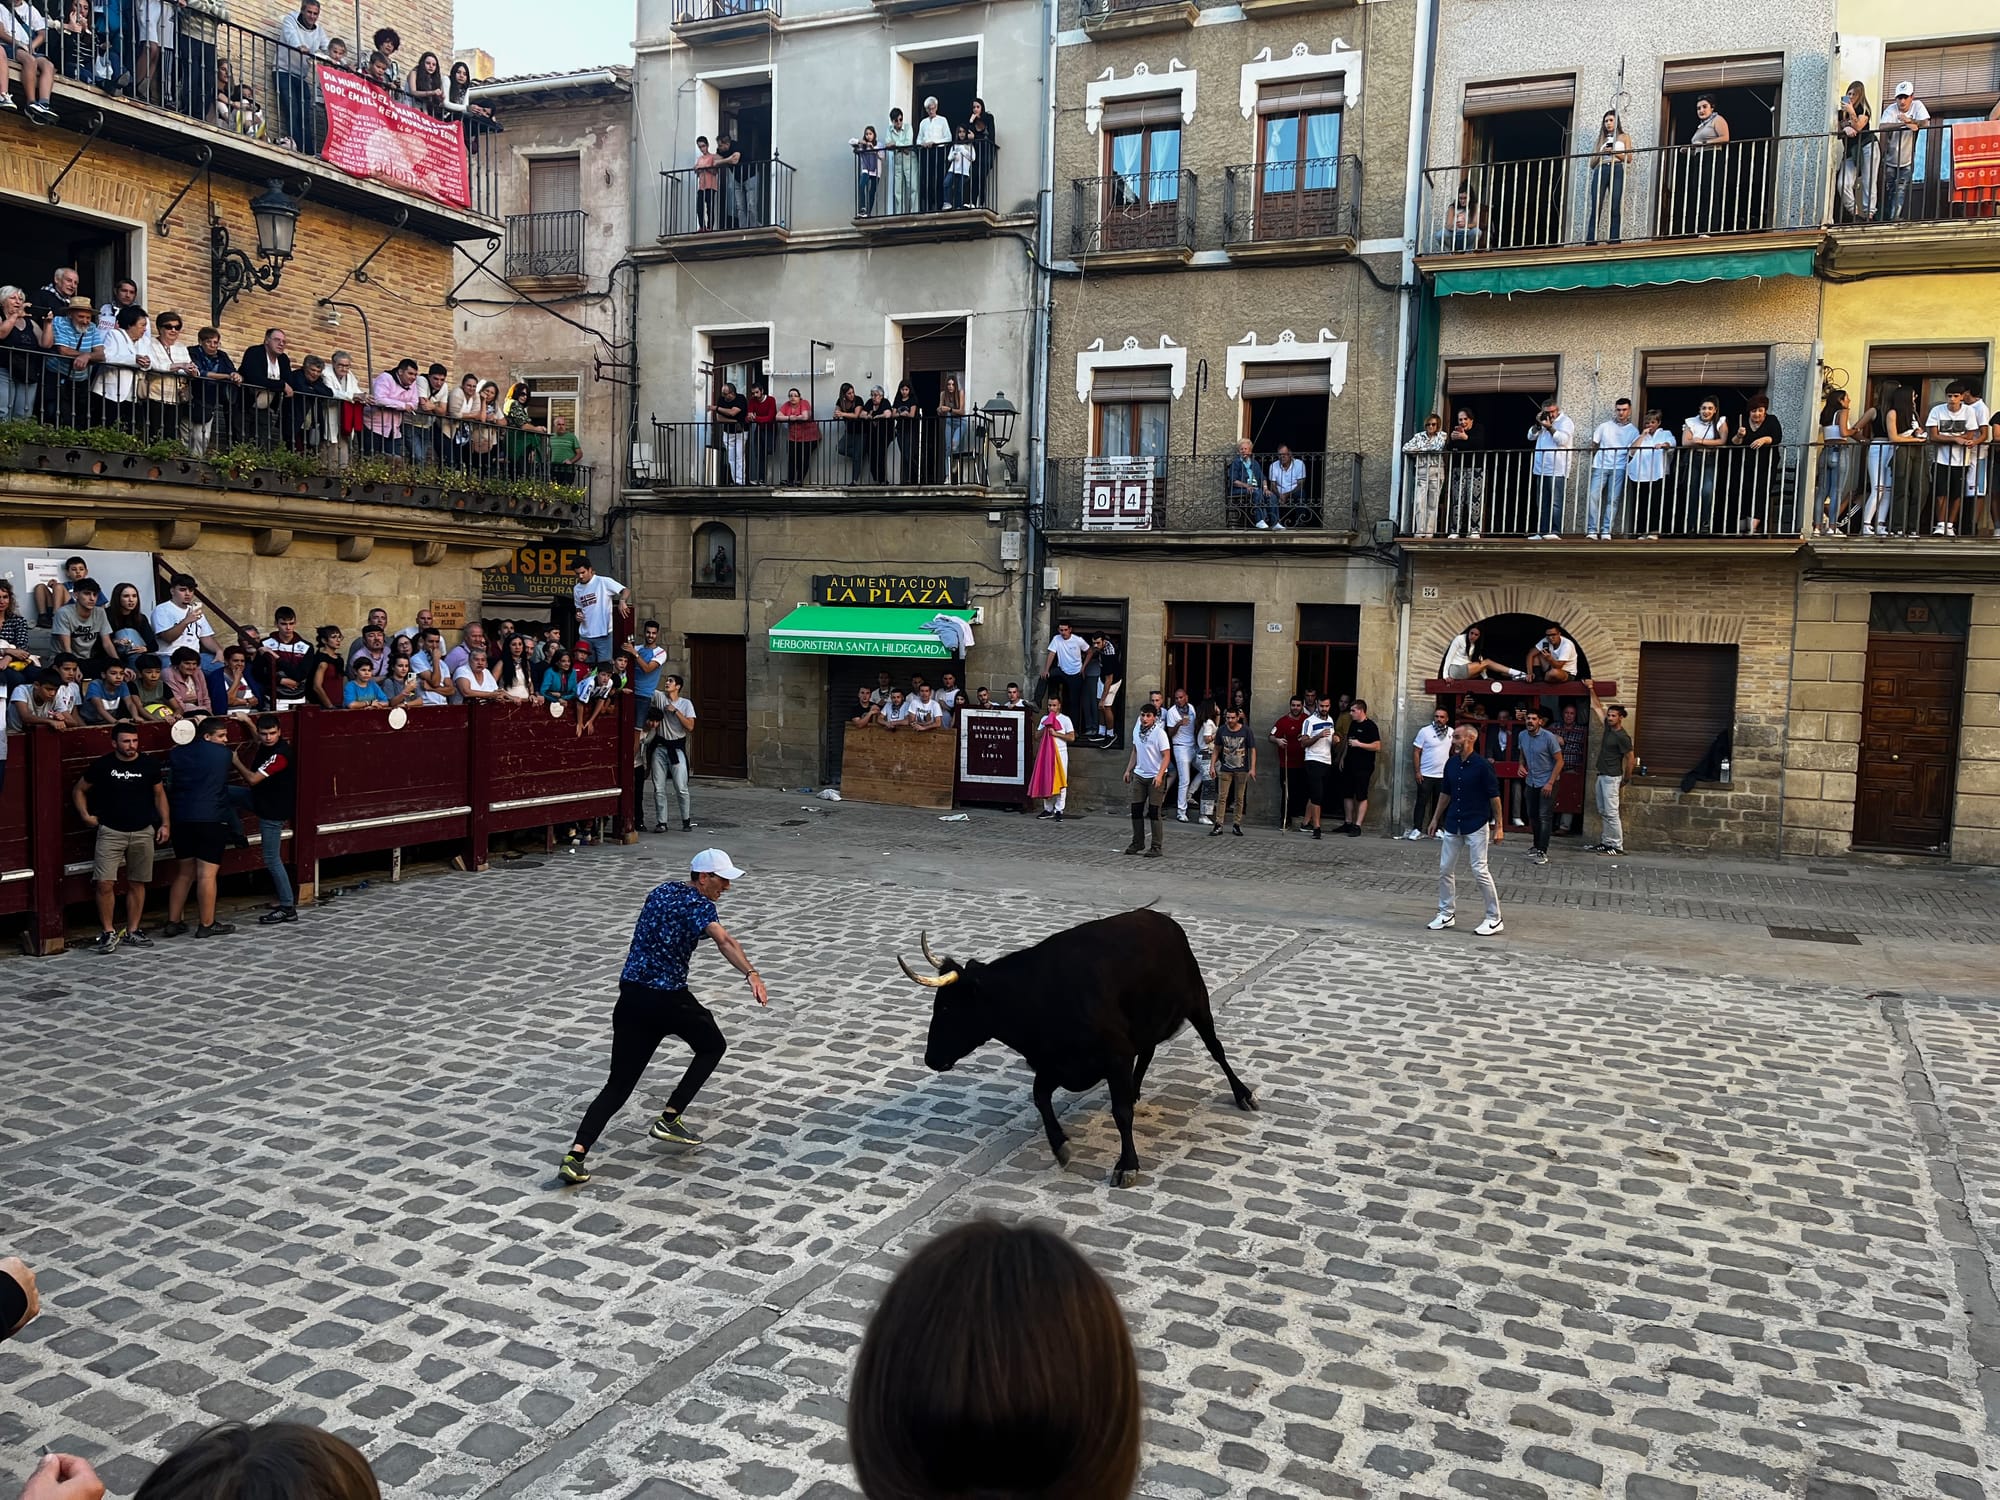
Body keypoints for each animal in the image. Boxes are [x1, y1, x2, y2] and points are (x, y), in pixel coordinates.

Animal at [900, 912, 1256, 1192]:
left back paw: (1243, 1094)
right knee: (1148, 1051)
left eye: (947, 1007)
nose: (931, 1058)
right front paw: (1061, 1147)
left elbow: (1120, 1113)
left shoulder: (1114, 1056)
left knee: (1216, 1049)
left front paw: (1127, 1165)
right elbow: (1040, 1097)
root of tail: (1162, 919)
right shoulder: (1055, 1065)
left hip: (1198, 1002)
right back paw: (1135, 1089)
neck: (1038, 997)